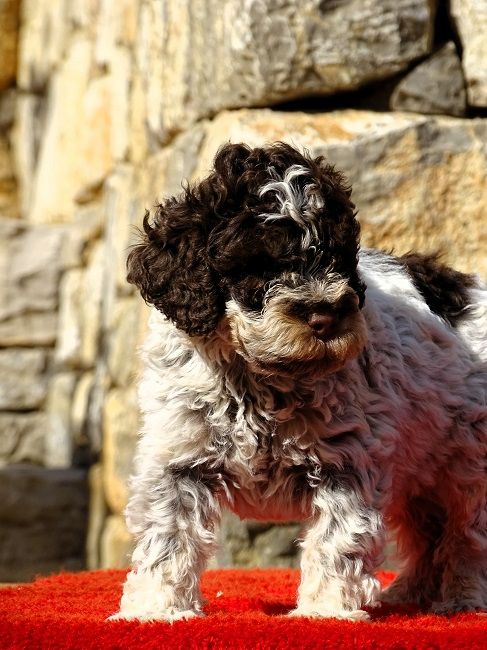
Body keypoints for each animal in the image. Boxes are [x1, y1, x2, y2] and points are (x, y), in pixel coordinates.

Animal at [110, 143, 487, 624]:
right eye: (258, 263)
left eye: (336, 258)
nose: (326, 317)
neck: (261, 381)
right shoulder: (179, 459)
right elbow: (168, 534)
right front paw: (156, 609)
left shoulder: (346, 462)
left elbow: (335, 539)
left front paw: (325, 612)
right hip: (423, 462)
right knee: (429, 532)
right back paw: (410, 594)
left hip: (469, 465)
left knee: (467, 536)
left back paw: (462, 600)